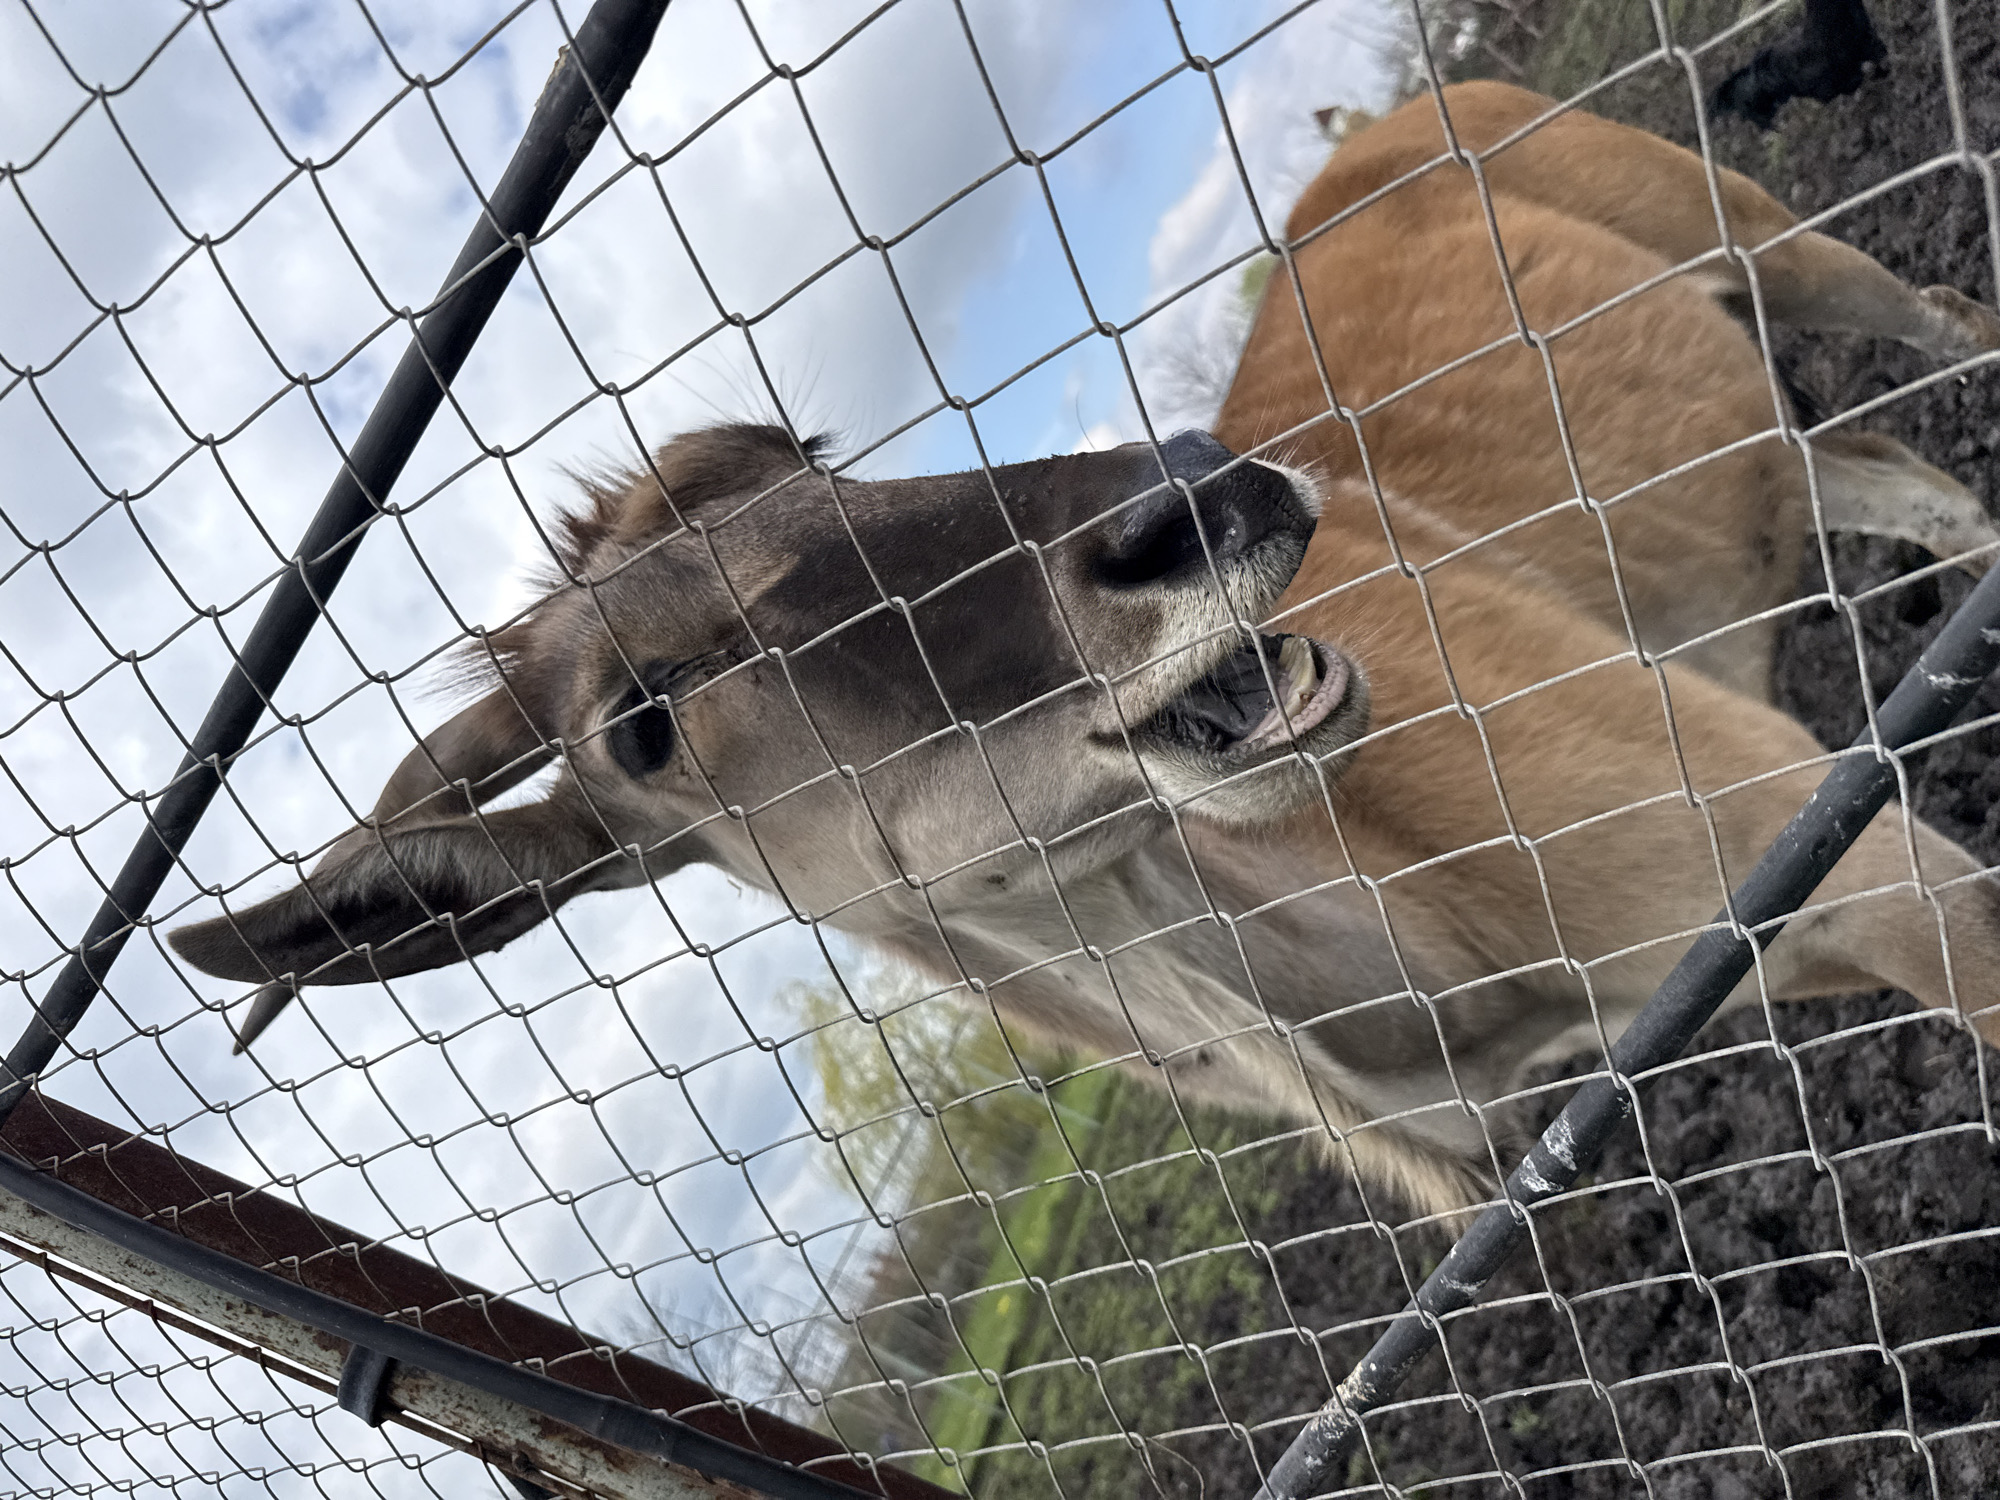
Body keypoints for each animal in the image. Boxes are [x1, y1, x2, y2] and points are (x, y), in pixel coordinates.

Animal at [170, 82, 2000, 1218]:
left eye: (813, 455)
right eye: (643, 719)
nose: (1204, 500)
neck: (1421, 970)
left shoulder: (1877, 872)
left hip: (1777, 239)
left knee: (1943, 329)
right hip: (1778, 434)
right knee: (1908, 488)